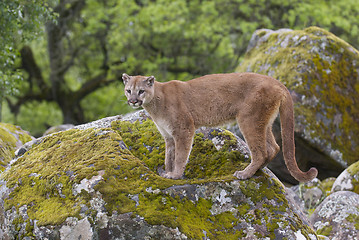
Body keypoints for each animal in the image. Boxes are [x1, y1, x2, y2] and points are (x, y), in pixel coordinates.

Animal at [123, 73, 318, 182]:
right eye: (128, 90)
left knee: (261, 151)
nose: (132, 101)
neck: (155, 103)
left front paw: (175, 175)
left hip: (248, 119)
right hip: (263, 122)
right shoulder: (168, 135)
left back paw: (245, 173)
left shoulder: (184, 129)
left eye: (141, 91)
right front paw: (167, 172)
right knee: (273, 147)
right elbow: (169, 157)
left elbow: (180, 156)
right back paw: (258, 170)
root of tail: (278, 82)